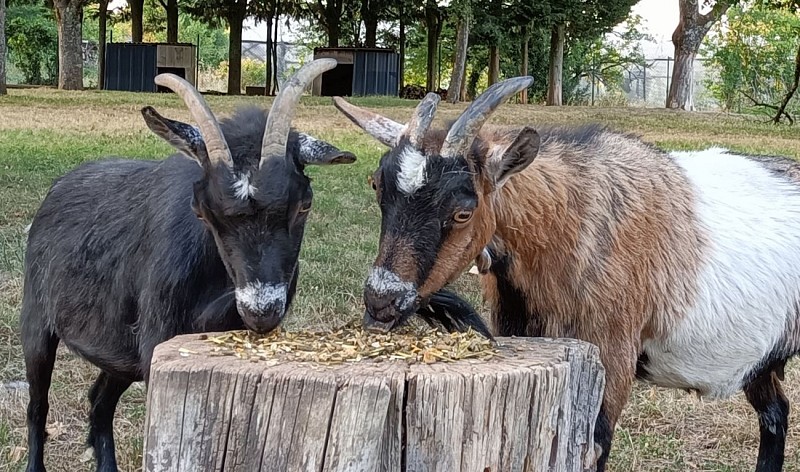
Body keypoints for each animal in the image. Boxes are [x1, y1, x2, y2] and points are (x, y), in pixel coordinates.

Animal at [21, 59, 356, 472]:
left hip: (120, 351)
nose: (260, 311)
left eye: (304, 205)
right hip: (36, 322)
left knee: (99, 401)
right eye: (202, 211)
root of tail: (57, 189)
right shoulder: (157, 337)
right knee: (38, 406)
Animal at [334, 79, 800, 470]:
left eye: (463, 212)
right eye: (377, 186)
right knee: (775, 414)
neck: (573, 221)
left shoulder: (612, 358)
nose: (381, 301)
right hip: (762, 361)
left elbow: (595, 448)